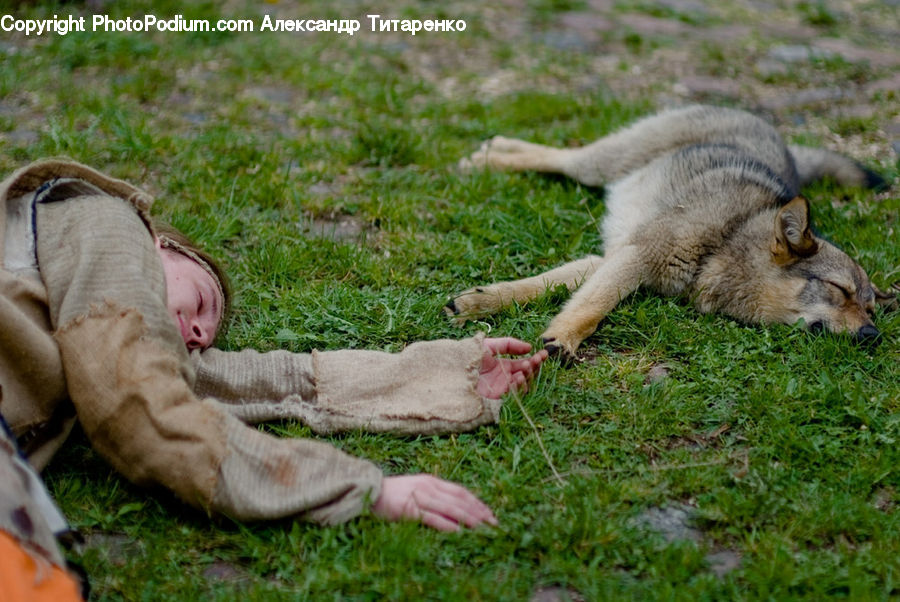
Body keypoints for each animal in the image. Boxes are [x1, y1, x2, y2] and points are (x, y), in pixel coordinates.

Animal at [446, 104, 896, 360]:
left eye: (871, 309)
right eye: (839, 290)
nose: (872, 335)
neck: (726, 243)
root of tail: (777, 136)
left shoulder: (611, 258)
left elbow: (542, 287)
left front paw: (477, 302)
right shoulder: (637, 256)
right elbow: (593, 308)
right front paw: (565, 338)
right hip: (601, 164)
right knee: (556, 156)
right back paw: (487, 157)